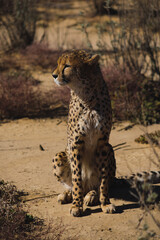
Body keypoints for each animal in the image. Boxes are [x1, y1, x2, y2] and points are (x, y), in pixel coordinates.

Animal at [52, 49, 115, 217]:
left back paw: (91, 196)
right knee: (71, 184)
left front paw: (105, 203)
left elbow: (104, 180)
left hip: (111, 149)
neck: (87, 97)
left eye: (67, 65)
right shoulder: (75, 143)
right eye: (58, 64)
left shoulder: (103, 143)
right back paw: (67, 195)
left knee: (93, 187)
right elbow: (76, 179)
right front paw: (76, 205)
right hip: (59, 156)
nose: (54, 75)